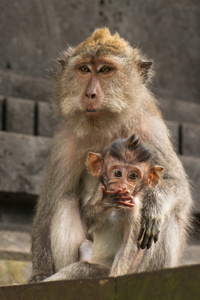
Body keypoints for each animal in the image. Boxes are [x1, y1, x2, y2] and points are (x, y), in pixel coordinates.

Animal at [29, 27, 192, 282]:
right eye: (84, 69)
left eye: (105, 70)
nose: (90, 94)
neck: (105, 124)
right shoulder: (66, 142)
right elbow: (48, 208)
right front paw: (39, 274)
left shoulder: (149, 128)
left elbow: (177, 186)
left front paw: (154, 205)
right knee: (65, 200)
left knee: (167, 218)